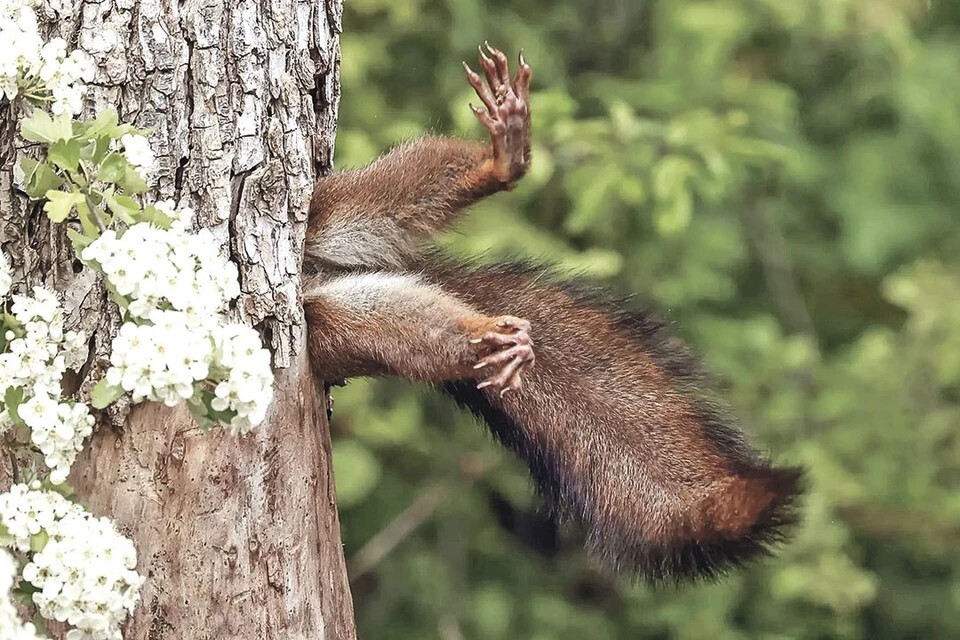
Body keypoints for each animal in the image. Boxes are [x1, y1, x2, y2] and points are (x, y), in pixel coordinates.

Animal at [302, 44, 802, 583]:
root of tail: (317, 274)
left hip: (327, 211)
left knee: (388, 195)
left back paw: (500, 164)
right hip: (332, 325)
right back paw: (489, 338)